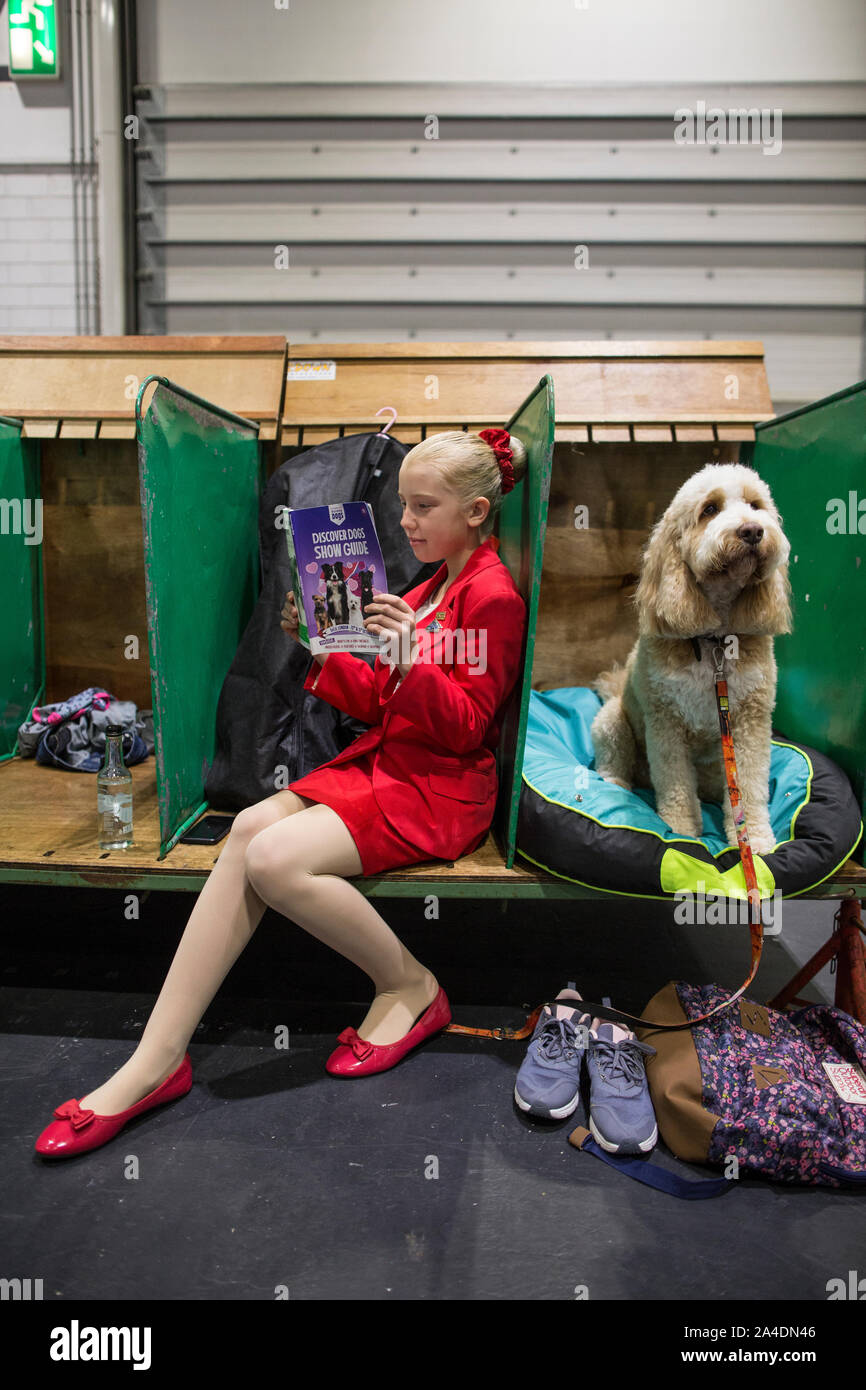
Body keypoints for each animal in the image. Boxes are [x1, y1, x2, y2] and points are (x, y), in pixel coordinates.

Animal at [592, 467, 789, 850]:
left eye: (755, 505)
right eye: (709, 509)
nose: (752, 530)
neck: (714, 641)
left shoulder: (751, 722)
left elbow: (751, 787)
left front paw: (754, 839)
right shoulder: (666, 720)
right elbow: (676, 783)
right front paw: (681, 830)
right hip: (611, 722)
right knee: (616, 762)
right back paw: (616, 785)